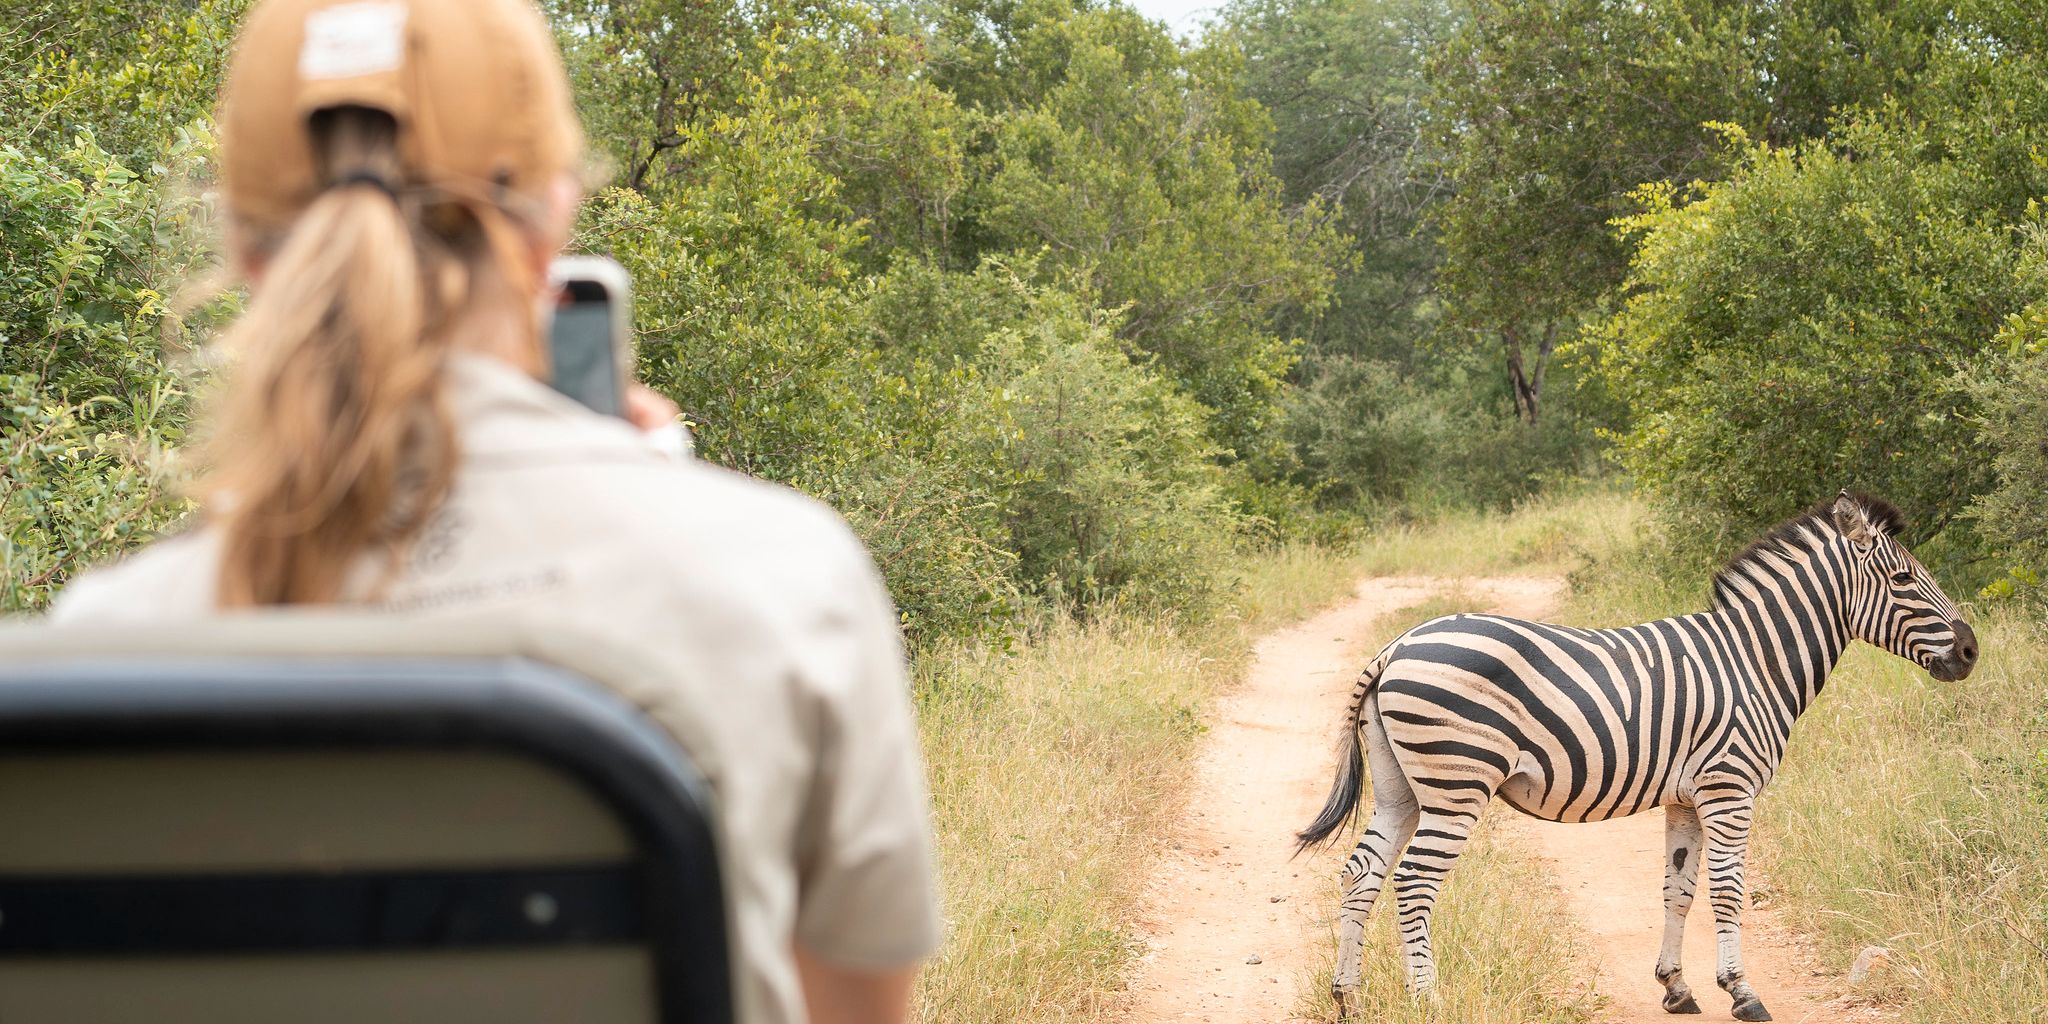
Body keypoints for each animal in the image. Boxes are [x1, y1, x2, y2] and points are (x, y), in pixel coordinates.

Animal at [1296, 491, 1978, 1022]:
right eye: (1903, 581)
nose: (1972, 652)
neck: (1754, 662)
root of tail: (1395, 646)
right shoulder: (1730, 789)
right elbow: (1727, 891)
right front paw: (1743, 993)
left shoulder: (1687, 799)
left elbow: (1679, 889)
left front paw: (1677, 987)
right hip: (1455, 785)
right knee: (1413, 881)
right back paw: (1428, 1001)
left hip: (1401, 789)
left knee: (1362, 873)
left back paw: (1347, 998)